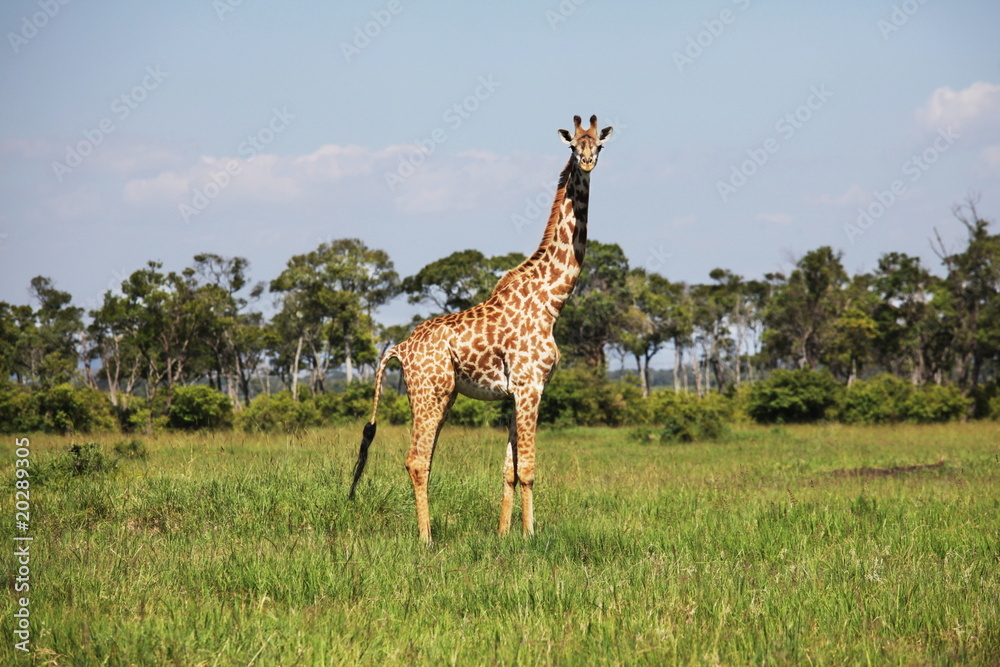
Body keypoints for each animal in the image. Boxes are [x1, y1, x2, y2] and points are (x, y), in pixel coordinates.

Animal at [349, 115, 613, 543]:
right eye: (574, 146)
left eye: (600, 145)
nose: (588, 162)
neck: (552, 300)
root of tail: (399, 349)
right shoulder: (531, 385)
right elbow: (528, 469)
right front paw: (530, 535)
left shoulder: (514, 393)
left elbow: (508, 469)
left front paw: (504, 534)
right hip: (431, 393)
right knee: (416, 460)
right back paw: (426, 539)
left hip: (441, 396)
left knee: (425, 459)